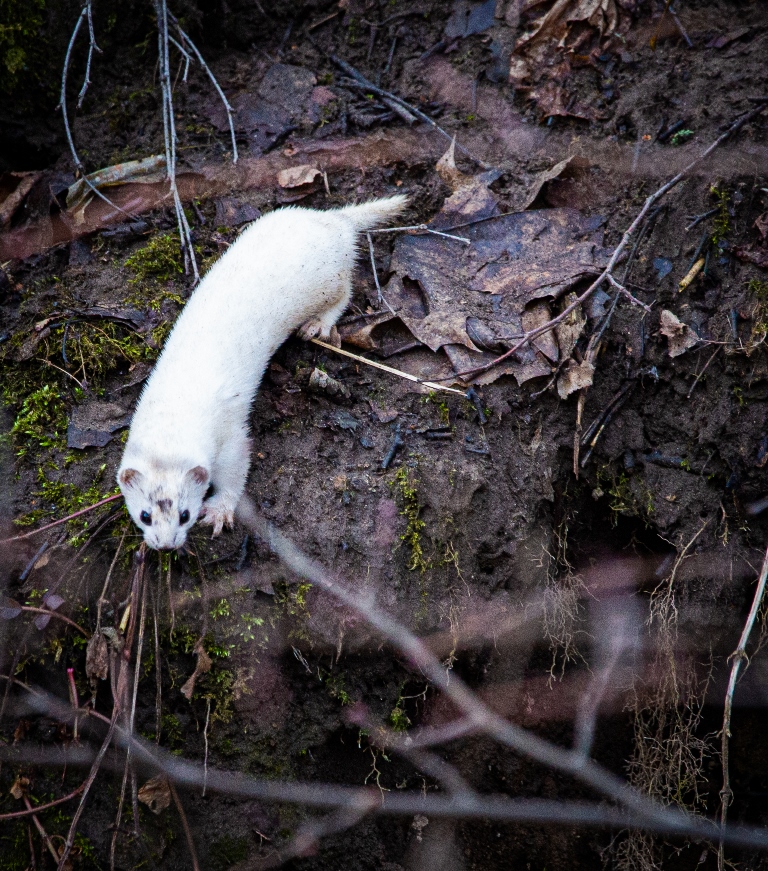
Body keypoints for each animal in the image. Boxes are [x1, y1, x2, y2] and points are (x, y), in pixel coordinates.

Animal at [117, 198, 408, 552]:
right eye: (144, 515)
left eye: (185, 514)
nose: (165, 545)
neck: (178, 404)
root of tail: (333, 220)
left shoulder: (230, 432)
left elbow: (237, 466)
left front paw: (219, 512)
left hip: (329, 281)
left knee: (345, 292)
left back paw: (317, 325)